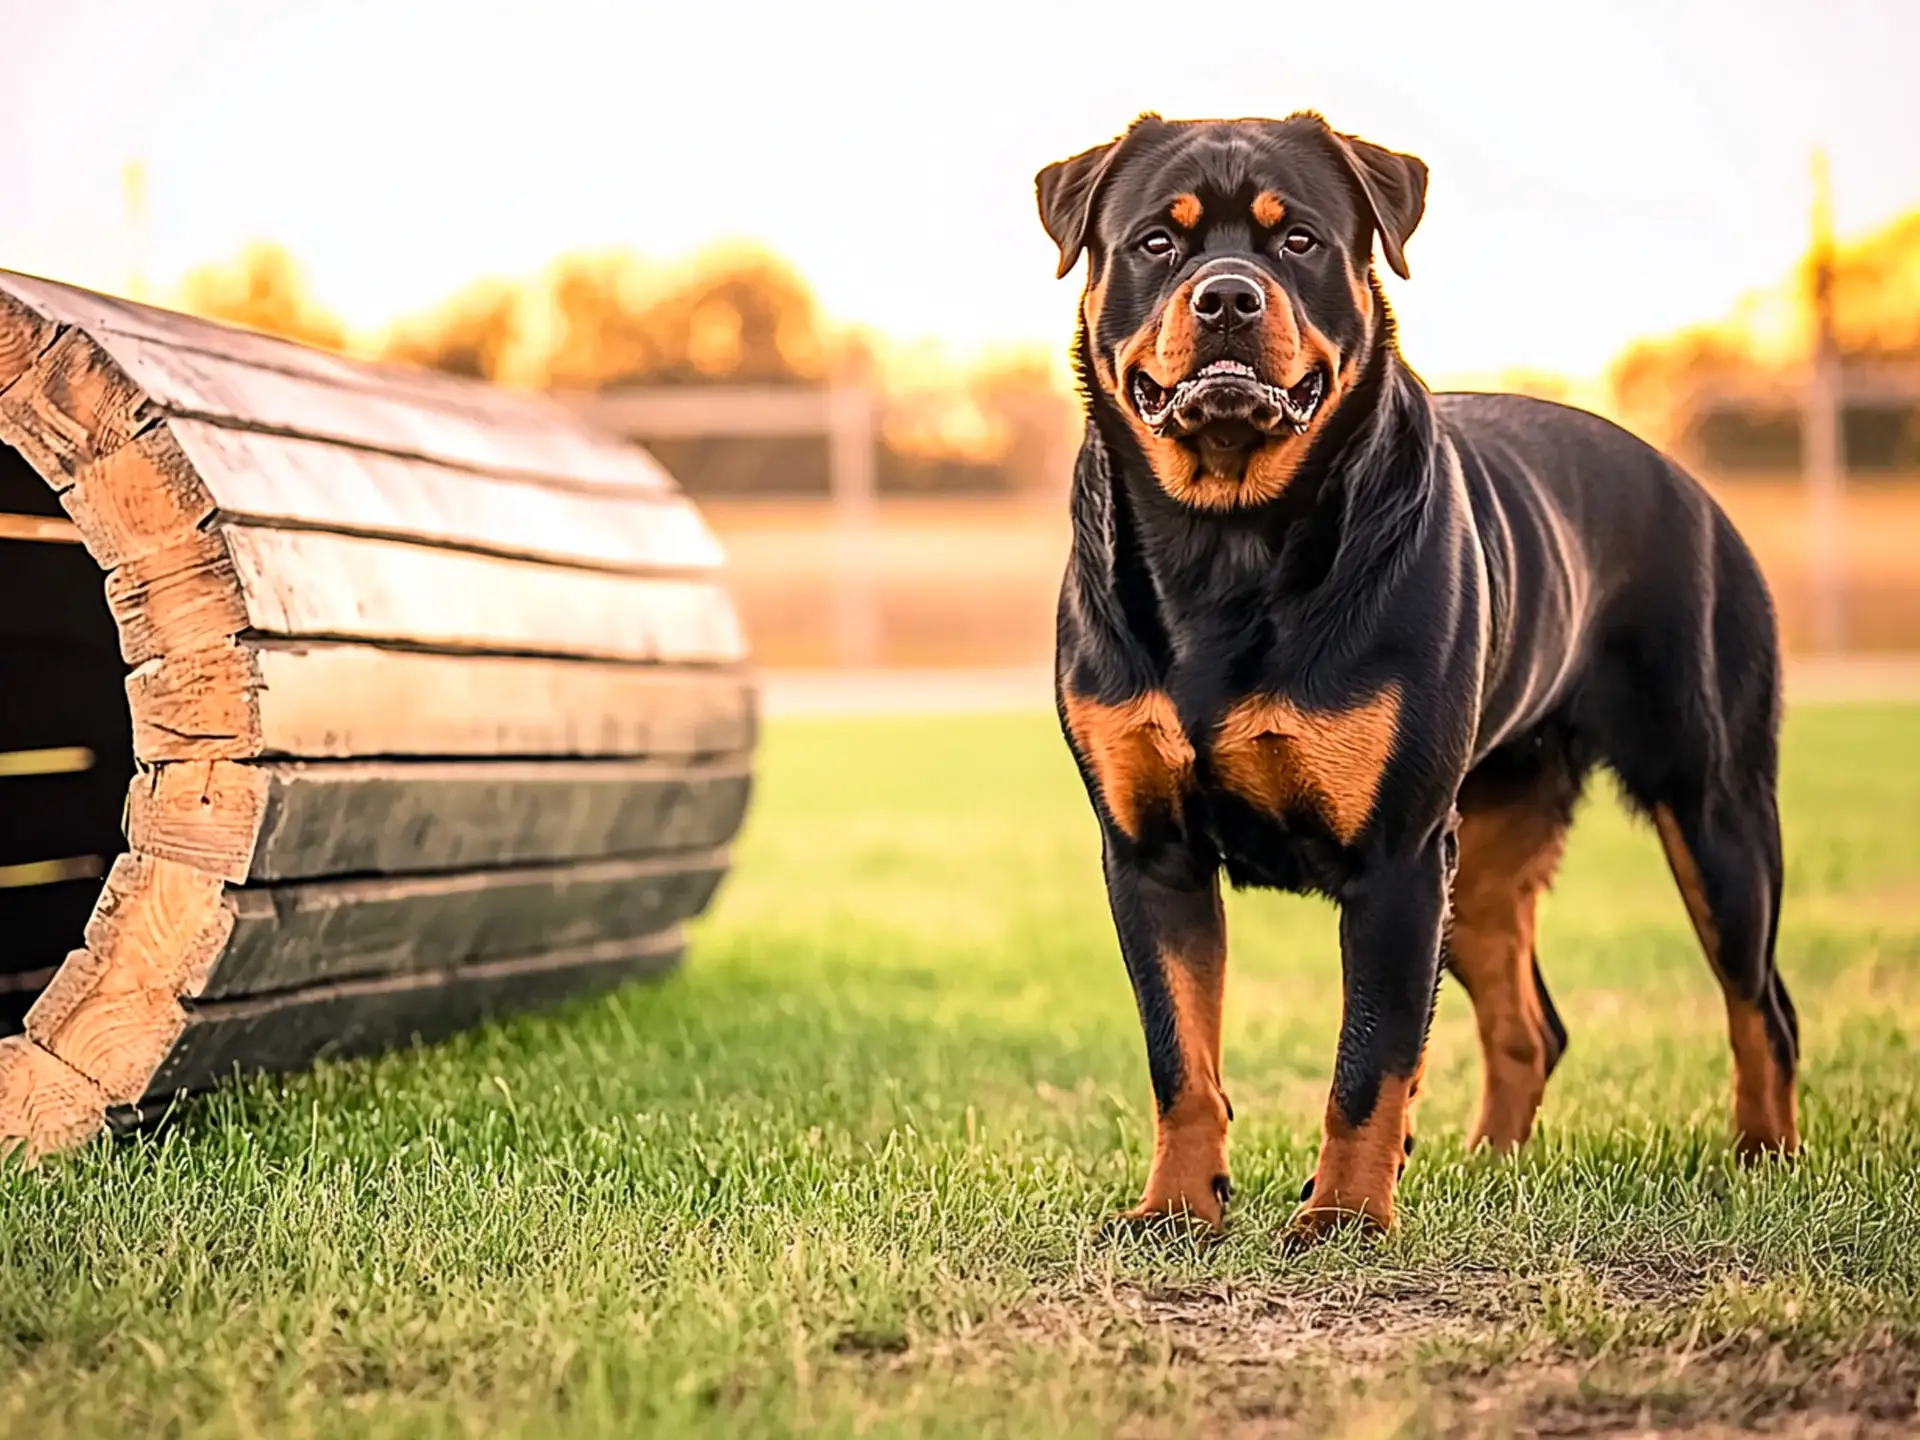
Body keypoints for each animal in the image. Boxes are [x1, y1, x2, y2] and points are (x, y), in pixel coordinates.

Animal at [1036, 112, 1797, 1244]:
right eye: (1156, 243)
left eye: (1299, 240)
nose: (1227, 296)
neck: (1224, 545)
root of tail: (1694, 490)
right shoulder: (1149, 851)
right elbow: (1183, 1055)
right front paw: (1177, 1208)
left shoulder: (1395, 858)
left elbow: (1370, 1061)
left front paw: (1345, 1218)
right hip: (1480, 851)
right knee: (1532, 1021)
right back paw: (1491, 1165)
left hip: (1711, 806)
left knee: (1761, 1002)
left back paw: (1763, 1160)